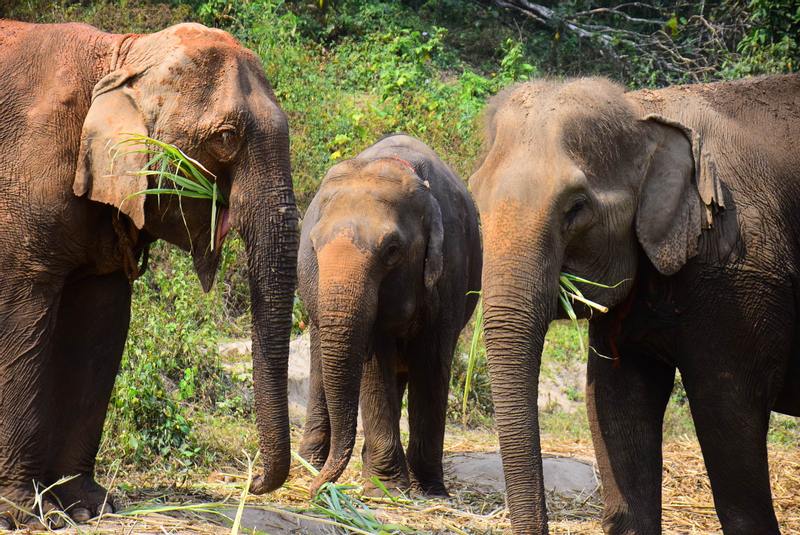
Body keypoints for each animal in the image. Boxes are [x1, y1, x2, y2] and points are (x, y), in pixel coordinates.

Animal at [0, 21, 298, 528]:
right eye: (225, 138)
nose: (253, 480)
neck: (119, 54)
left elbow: (100, 326)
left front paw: (89, 506)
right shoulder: (24, 178)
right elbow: (22, 321)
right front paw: (31, 515)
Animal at [296, 135, 482, 497]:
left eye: (393, 251)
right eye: (314, 245)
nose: (316, 491)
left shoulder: (452, 267)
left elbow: (432, 362)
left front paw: (429, 490)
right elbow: (373, 364)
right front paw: (387, 489)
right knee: (321, 360)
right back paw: (307, 463)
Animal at [469, 75, 800, 534]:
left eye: (576, 207)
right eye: (474, 197)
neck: (643, 113)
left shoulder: (741, 274)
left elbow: (729, 410)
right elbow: (613, 402)